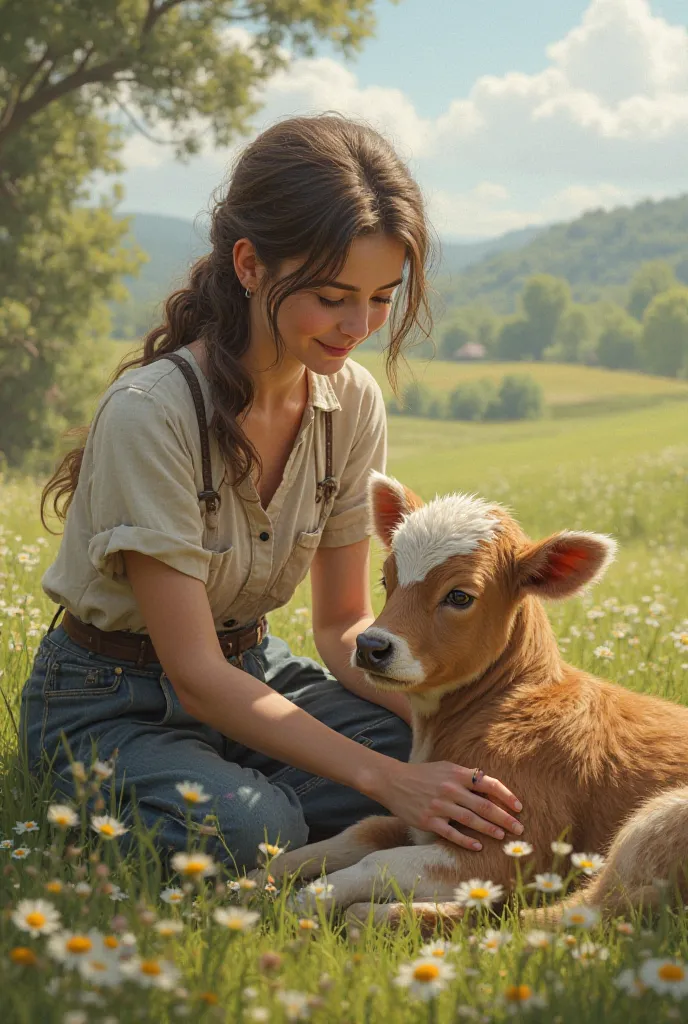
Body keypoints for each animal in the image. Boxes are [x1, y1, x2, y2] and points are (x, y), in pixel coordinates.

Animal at [266, 471, 688, 929]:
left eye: (460, 596)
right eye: (384, 580)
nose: (370, 646)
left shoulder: (513, 845)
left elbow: (379, 861)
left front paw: (303, 904)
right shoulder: (428, 815)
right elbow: (363, 831)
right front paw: (258, 875)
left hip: (660, 819)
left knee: (553, 915)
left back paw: (373, 917)